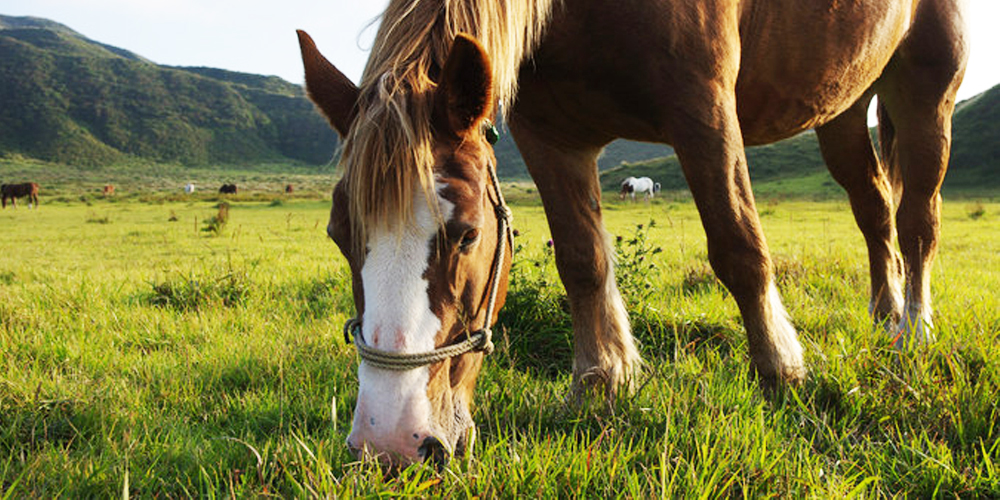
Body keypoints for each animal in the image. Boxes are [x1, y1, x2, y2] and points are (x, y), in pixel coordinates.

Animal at [298, 0, 968, 464]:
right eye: (338, 235)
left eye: (465, 233)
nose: (389, 441)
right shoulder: (549, 136)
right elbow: (581, 260)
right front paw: (602, 380)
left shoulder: (704, 109)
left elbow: (739, 245)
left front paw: (781, 370)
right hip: (842, 107)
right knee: (873, 209)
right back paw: (884, 315)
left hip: (924, 93)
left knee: (917, 222)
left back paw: (913, 329)